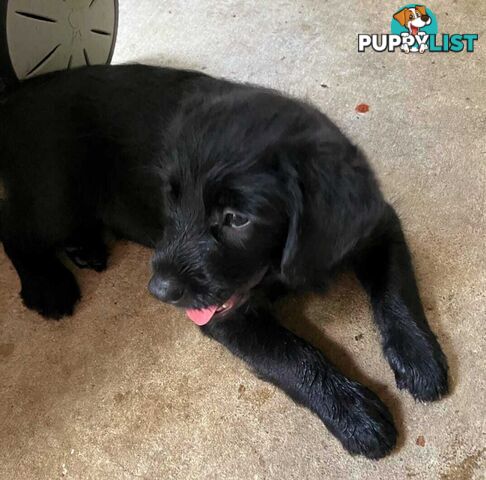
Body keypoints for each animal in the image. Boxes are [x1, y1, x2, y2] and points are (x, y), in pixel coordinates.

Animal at [0, 63, 448, 458]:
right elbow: (293, 355)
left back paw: (85, 248)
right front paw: (352, 412)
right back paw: (48, 285)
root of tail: (18, 94)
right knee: (15, 230)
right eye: (171, 198)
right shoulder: (223, 313)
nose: (158, 291)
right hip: (55, 192)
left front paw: (420, 356)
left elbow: (396, 288)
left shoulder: (375, 223)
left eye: (236, 219)